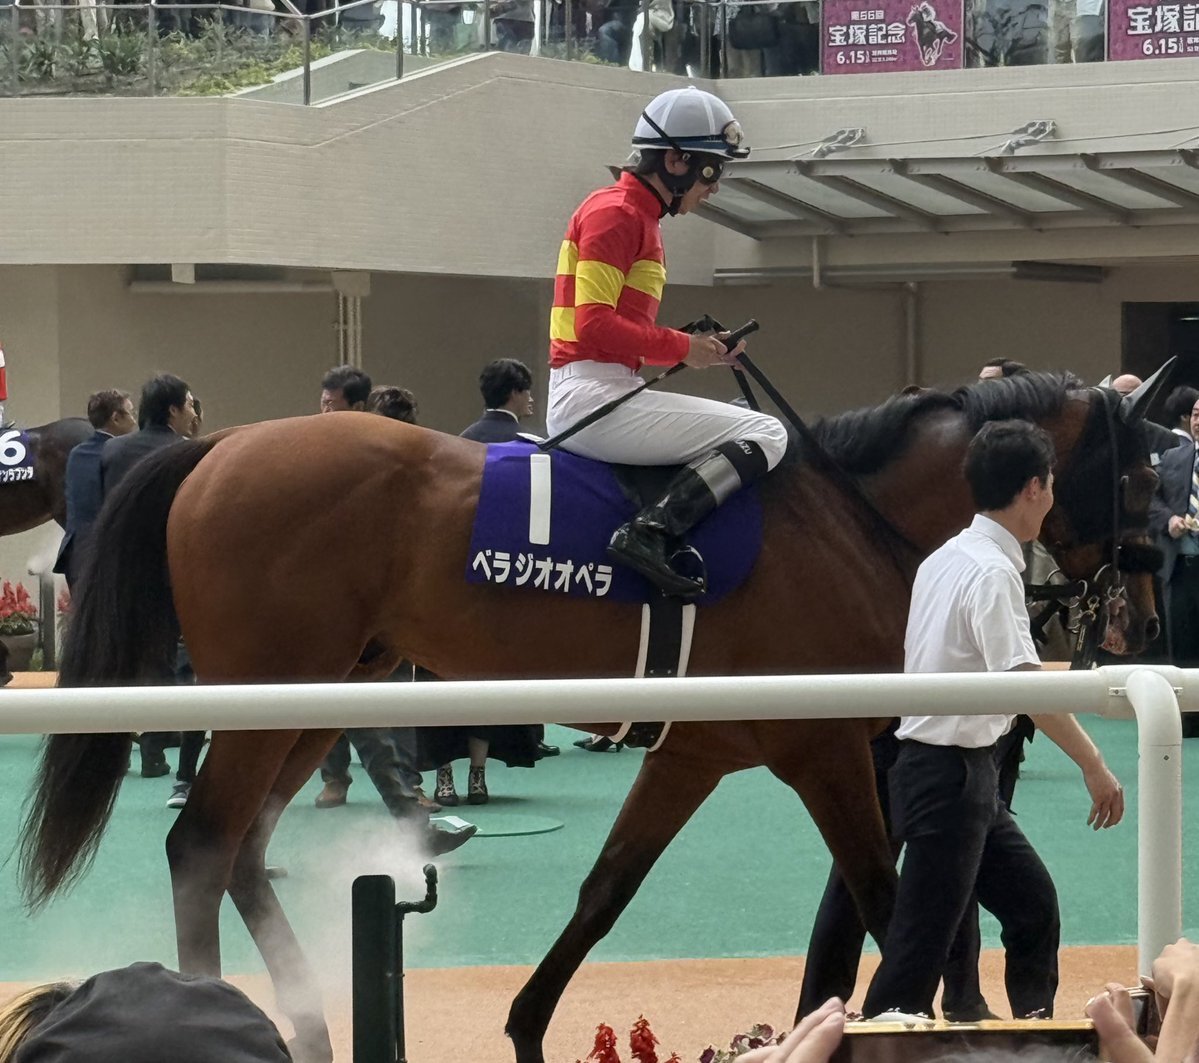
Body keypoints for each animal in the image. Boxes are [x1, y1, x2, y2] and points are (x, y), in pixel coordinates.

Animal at [18, 373, 1162, 1063]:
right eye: (1144, 465)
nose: (1145, 602)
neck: (847, 519)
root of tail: (216, 448)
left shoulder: (697, 750)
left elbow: (605, 891)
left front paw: (526, 1027)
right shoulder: (820, 743)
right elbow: (887, 895)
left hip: (326, 691)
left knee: (244, 850)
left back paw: (301, 1023)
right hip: (270, 692)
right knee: (203, 842)